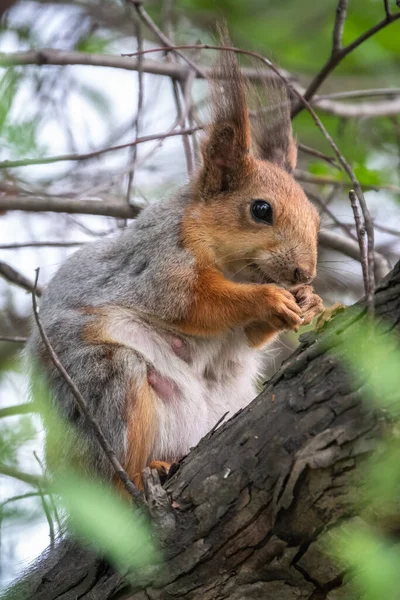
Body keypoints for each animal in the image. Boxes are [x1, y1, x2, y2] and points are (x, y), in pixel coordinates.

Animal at [29, 43, 324, 492]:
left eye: (317, 219)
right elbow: (195, 304)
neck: (237, 270)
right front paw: (267, 299)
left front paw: (308, 302)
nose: (303, 274)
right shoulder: (161, 260)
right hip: (109, 384)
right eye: (261, 210)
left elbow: (247, 337)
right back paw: (142, 476)